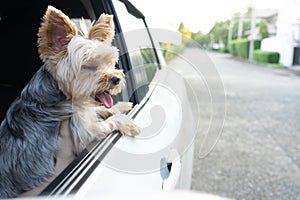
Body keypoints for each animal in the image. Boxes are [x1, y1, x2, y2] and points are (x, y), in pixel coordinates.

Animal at [0, 5, 141, 198]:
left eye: (109, 62)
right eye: (88, 66)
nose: (116, 79)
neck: (62, 93)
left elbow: (99, 110)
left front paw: (120, 106)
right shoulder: (85, 133)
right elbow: (108, 122)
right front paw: (127, 121)